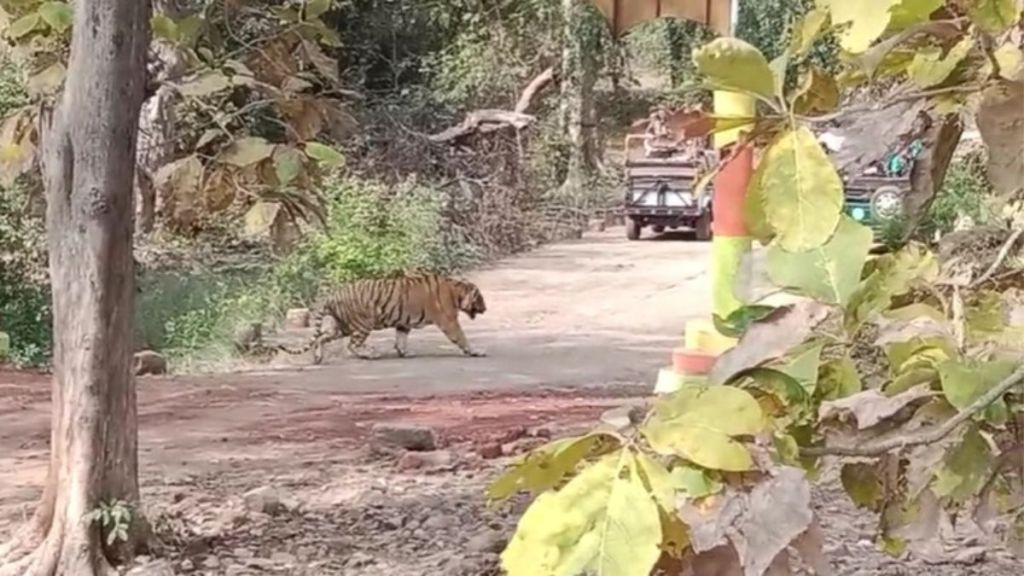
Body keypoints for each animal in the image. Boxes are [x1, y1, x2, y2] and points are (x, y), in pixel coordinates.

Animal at [276, 270, 487, 360]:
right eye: (480, 299)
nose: (485, 309)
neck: (456, 291)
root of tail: (333, 295)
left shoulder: (403, 323)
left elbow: (401, 339)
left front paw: (404, 353)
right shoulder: (449, 321)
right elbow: (461, 337)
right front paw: (476, 351)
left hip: (341, 326)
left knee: (321, 337)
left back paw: (318, 357)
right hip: (362, 324)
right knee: (353, 345)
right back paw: (371, 354)